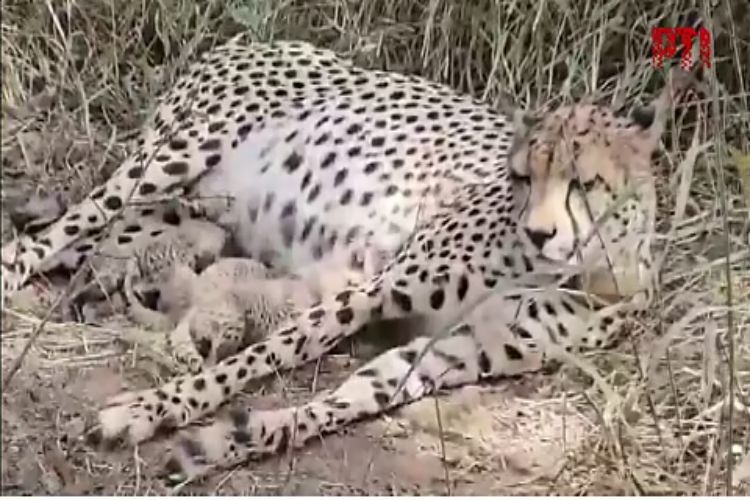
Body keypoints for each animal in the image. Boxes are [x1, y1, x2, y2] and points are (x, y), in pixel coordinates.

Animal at [0, 36, 694, 478]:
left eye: (584, 183)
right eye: (523, 177)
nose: (539, 233)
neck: (586, 268)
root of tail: (262, 39)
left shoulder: (454, 349)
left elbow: (353, 396)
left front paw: (240, 440)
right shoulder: (373, 289)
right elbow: (265, 355)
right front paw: (152, 410)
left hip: (187, 207)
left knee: (97, 242)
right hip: (170, 157)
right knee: (61, 228)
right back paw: (16, 271)